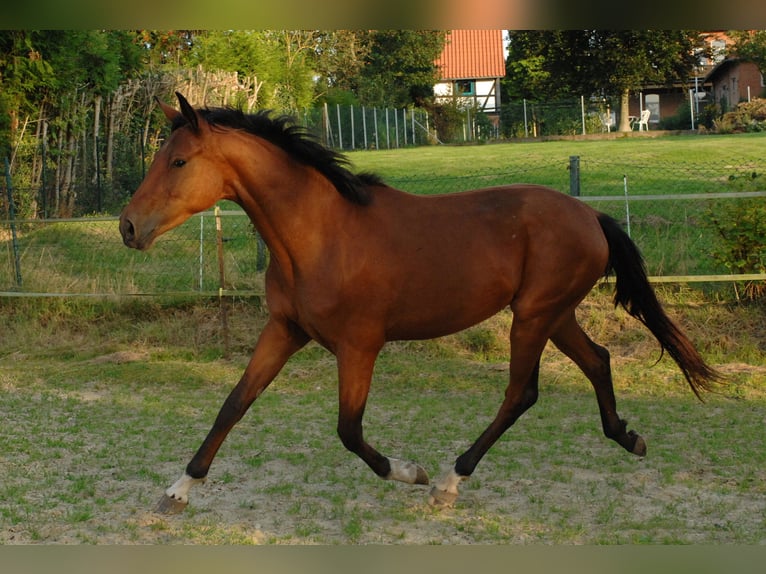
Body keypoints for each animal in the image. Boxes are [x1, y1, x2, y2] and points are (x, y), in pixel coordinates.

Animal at [118, 93, 720, 512]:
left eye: (178, 162)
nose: (128, 227)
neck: (318, 234)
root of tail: (590, 214)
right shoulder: (285, 330)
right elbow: (234, 403)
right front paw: (177, 491)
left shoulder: (359, 346)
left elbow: (349, 430)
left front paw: (410, 474)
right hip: (555, 314)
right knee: (598, 360)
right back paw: (628, 437)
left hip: (533, 317)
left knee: (521, 393)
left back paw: (450, 482)